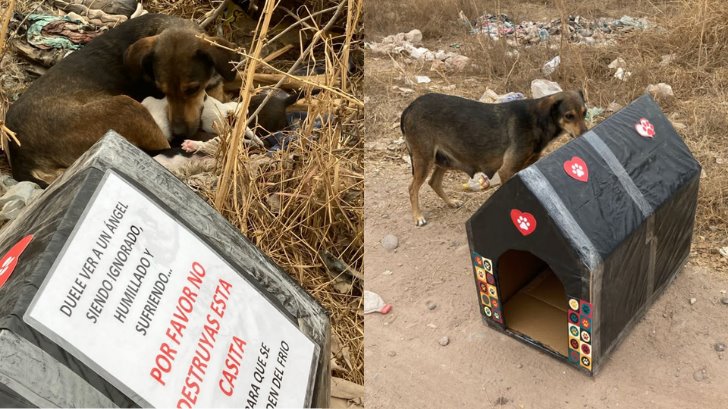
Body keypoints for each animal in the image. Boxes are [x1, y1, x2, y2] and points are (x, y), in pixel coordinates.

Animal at [400, 90, 588, 226]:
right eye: (569, 116)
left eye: (585, 113)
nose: (585, 134)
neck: (538, 120)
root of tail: (410, 107)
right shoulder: (507, 170)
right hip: (424, 159)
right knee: (412, 188)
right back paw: (418, 217)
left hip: (445, 159)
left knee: (434, 183)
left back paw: (451, 202)